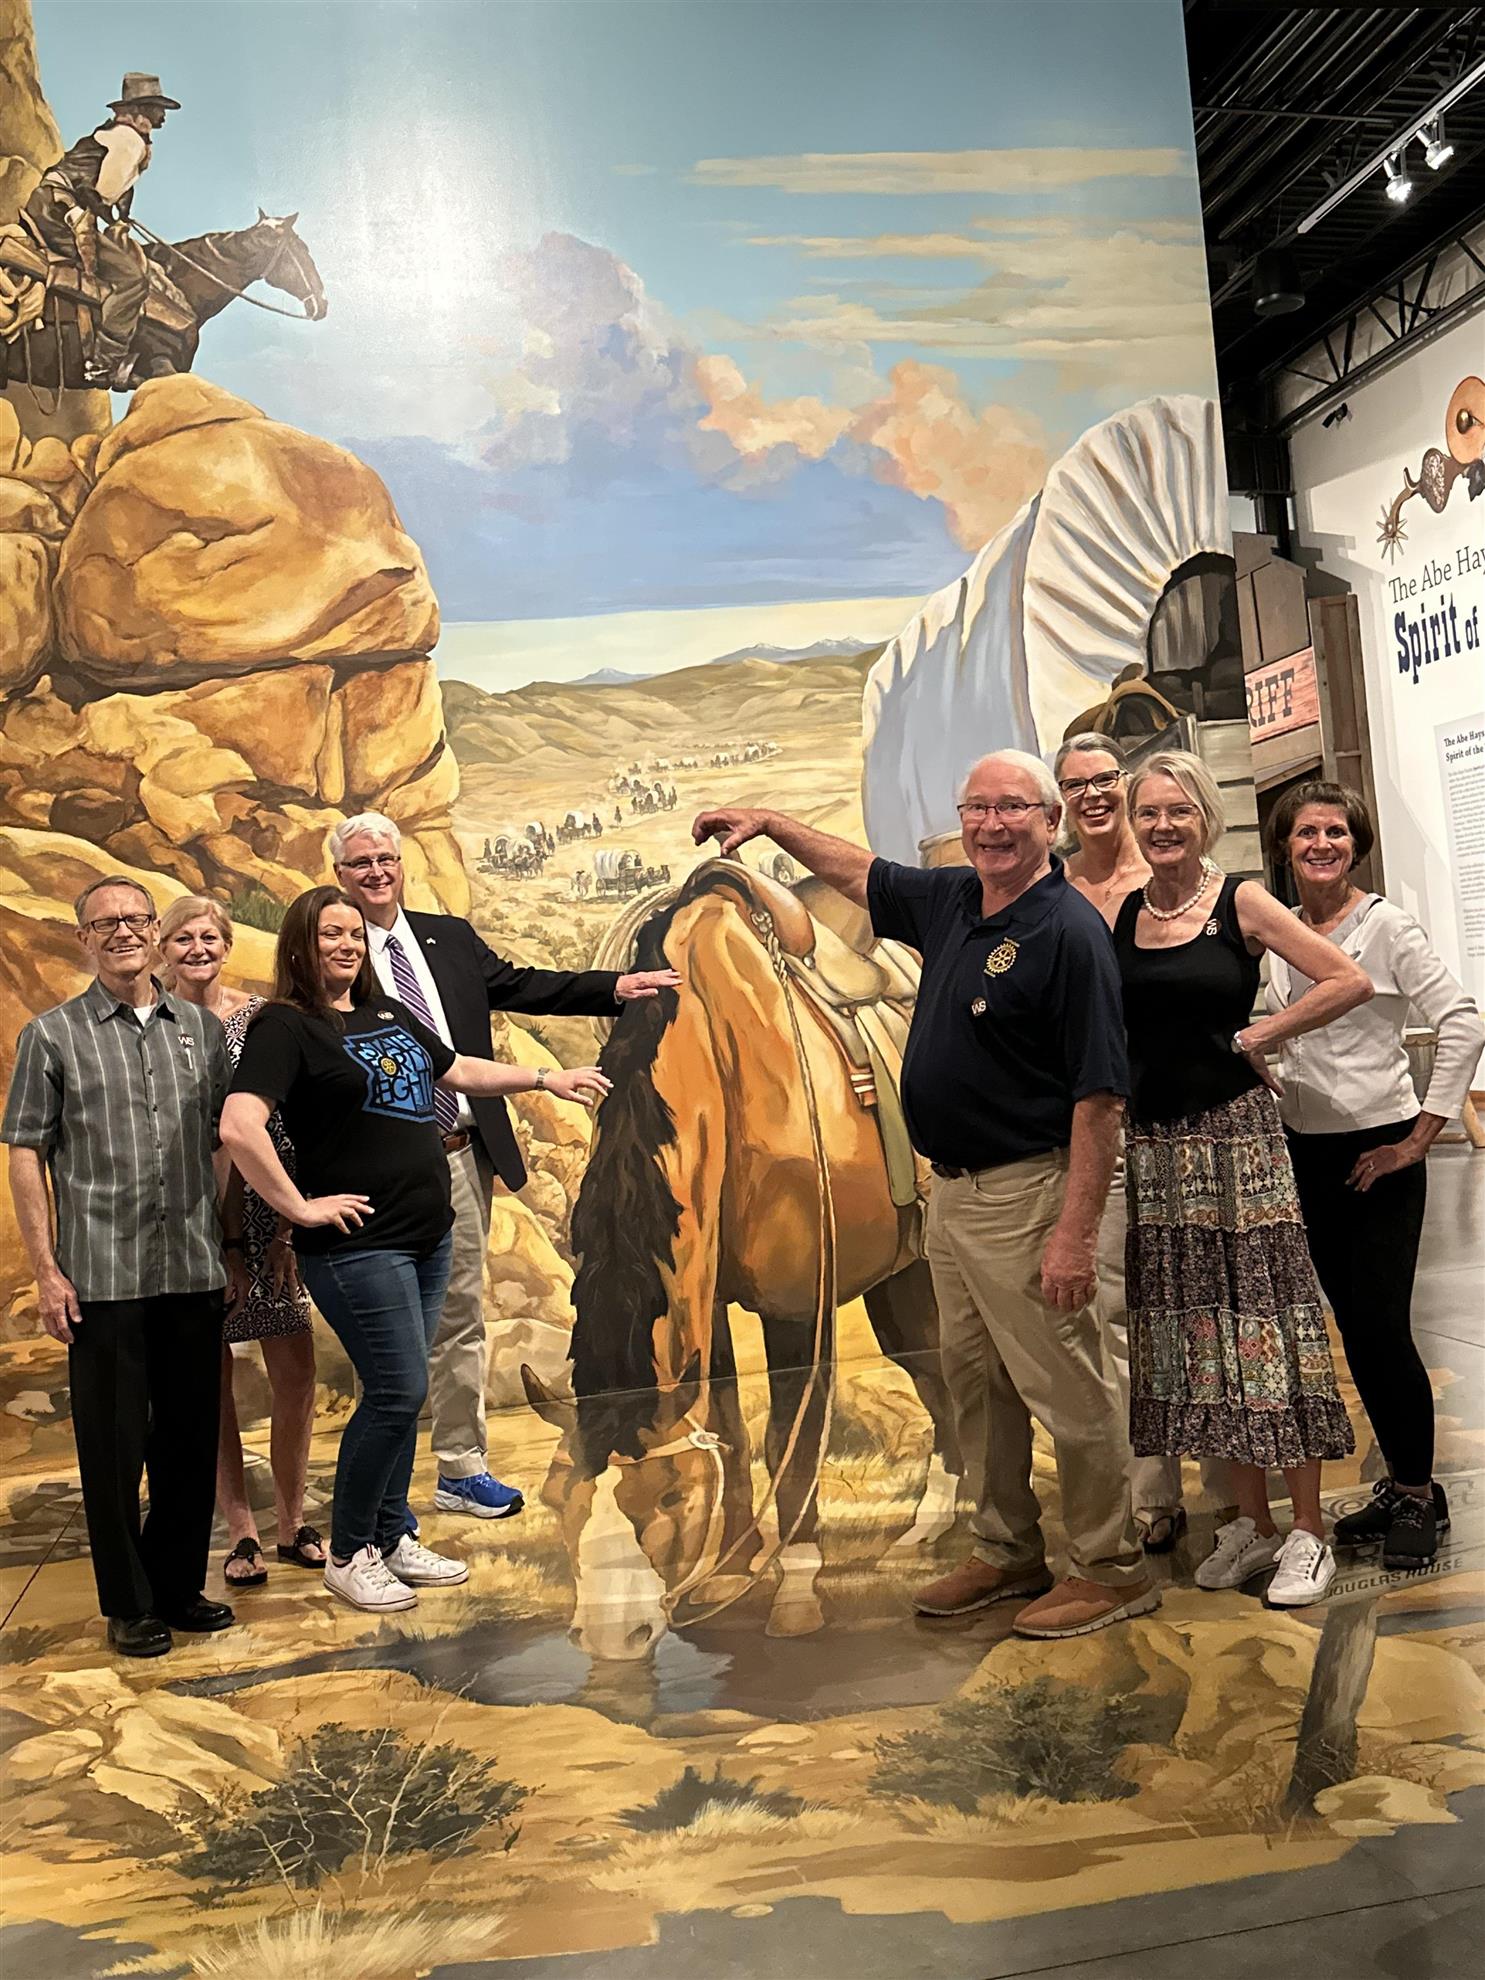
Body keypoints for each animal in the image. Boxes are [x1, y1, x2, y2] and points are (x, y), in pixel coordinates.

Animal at [523, 859, 961, 1662]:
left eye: (666, 1497)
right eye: (553, 1500)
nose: (608, 1636)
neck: (727, 1065)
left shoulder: (797, 1305)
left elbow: (789, 1438)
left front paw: (795, 1588)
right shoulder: (708, 1300)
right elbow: (727, 1427)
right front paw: (730, 1567)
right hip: (903, 1275)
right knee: (936, 1371)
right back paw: (934, 1522)